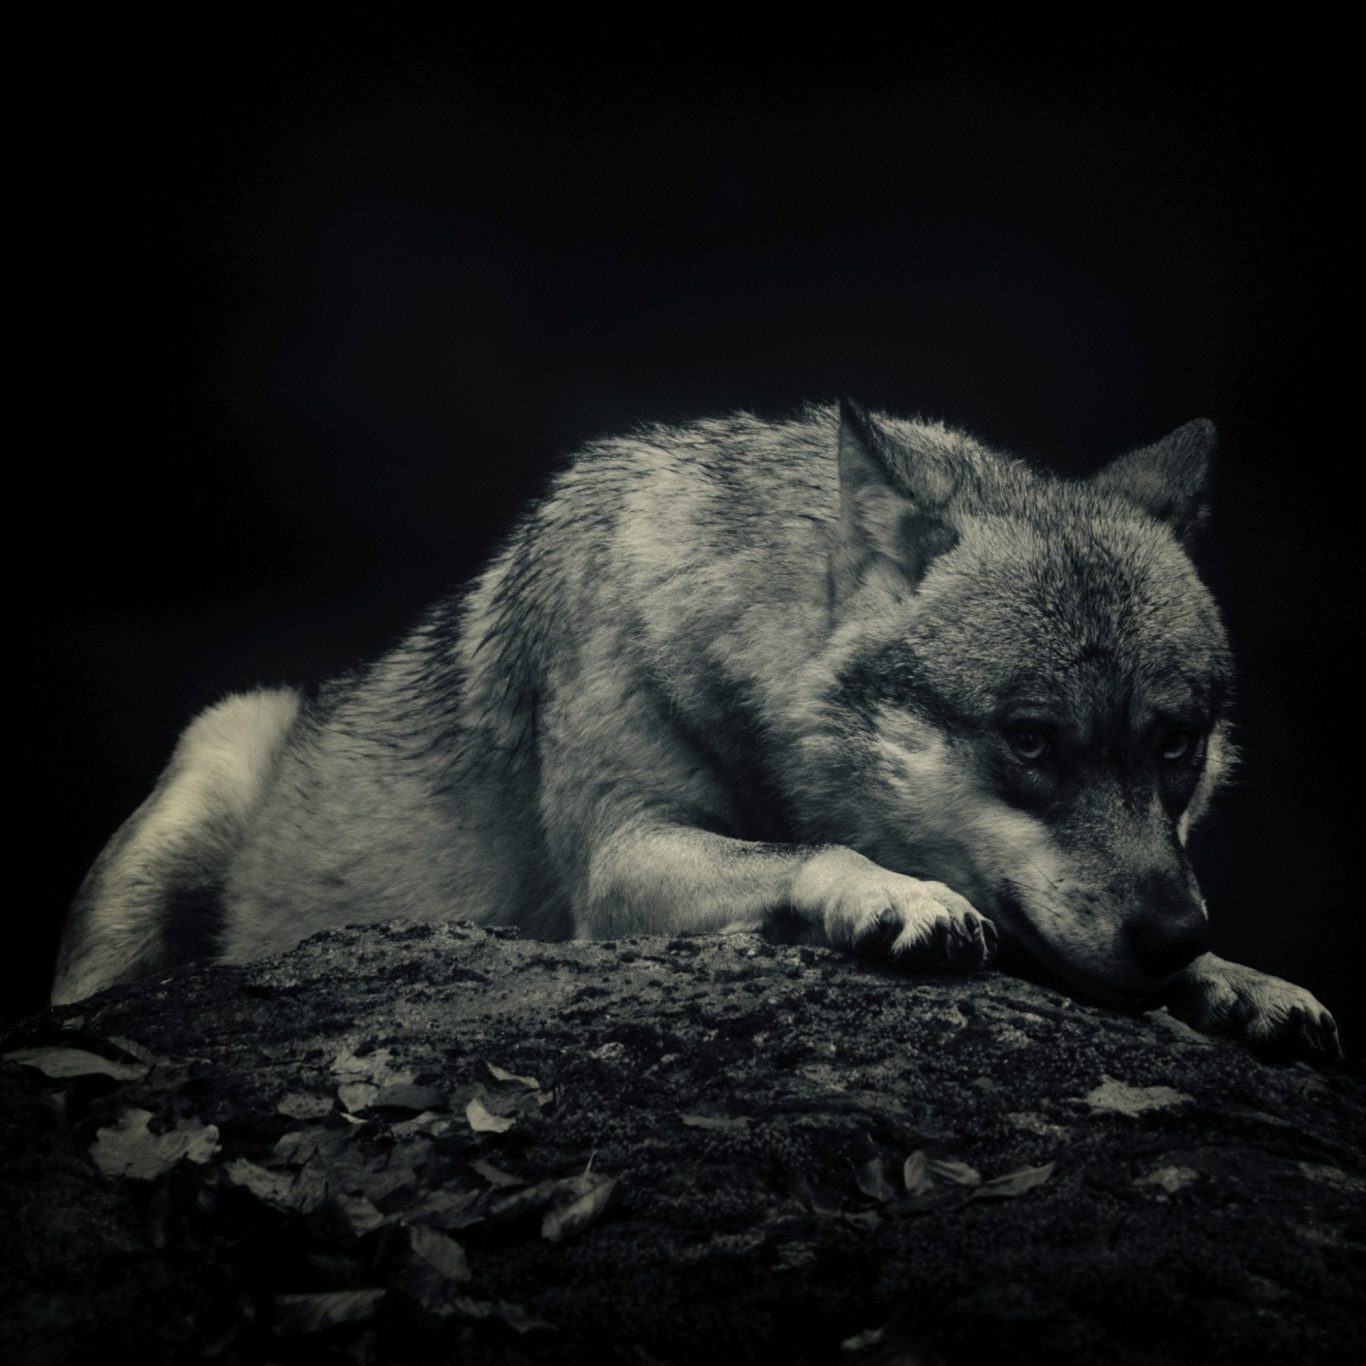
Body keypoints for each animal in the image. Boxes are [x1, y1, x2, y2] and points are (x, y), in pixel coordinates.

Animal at [53, 400, 1339, 1061]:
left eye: (1175, 743)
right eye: (1028, 740)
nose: (1172, 934)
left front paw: (1236, 978)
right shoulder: (620, 868)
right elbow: (817, 850)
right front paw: (898, 897)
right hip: (210, 760)